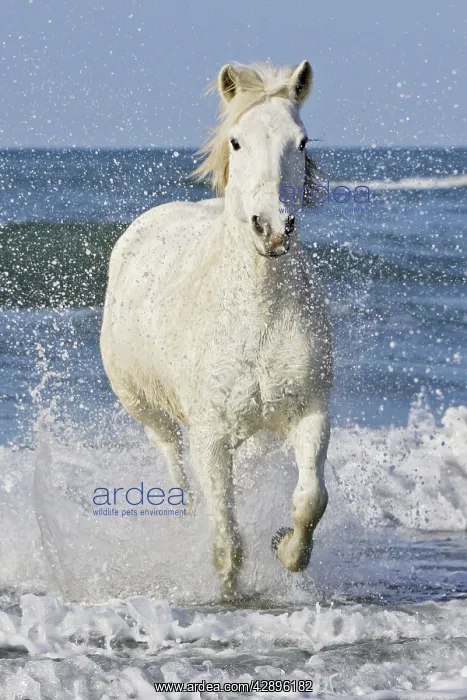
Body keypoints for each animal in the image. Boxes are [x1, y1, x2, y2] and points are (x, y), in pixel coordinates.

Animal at [100, 60, 333, 598]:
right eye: (237, 142)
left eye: (301, 141)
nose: (272, 228)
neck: (257, 314)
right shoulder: (209, 432)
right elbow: (227, 536)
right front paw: (228, 592)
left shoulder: (310, 412)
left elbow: (311, 499)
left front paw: (287, 551)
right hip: (149, 411)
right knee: (175, 468)